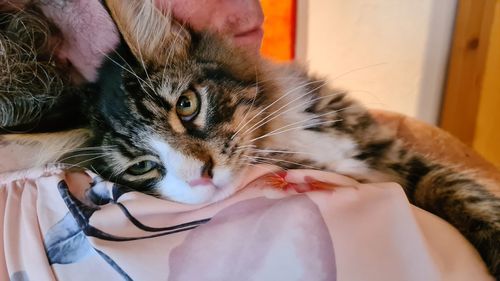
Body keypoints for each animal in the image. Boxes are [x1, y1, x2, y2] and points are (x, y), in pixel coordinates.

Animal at [0, 0, 498, 276]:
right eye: (142, 167)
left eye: (186, 105)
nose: (200, 175)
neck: (281, 129)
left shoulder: (382, 147)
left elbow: (456, 187)